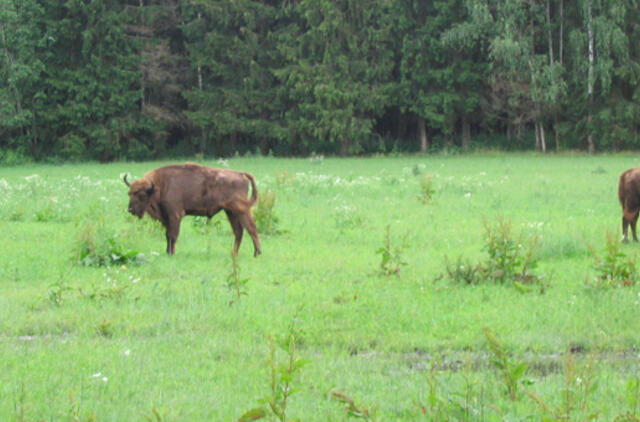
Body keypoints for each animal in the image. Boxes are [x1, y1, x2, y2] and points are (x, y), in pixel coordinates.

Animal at [124, 162, 262, 256]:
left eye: (142, 195)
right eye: (129, 193)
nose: (130, 209)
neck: (160, 186)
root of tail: (241, 174)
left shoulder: (175, 215)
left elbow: (172, 235)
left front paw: (172, 253)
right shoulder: (167, 218)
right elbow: (167, 235)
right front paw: (168, 252)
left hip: (241, 210)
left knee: (251, 228)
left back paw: (257, 253)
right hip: (230, 211)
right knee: (239, 231)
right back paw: (234, 253)